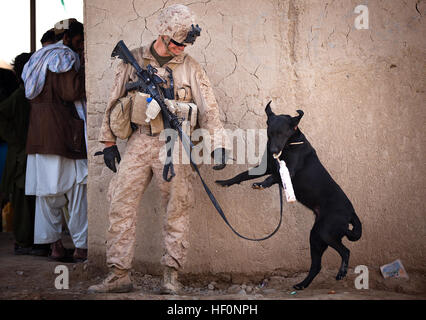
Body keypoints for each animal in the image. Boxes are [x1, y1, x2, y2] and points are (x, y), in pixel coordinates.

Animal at [215, 102, 362, 290]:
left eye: (282, 133)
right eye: (270, 133)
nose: (273, 150)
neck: (290, 144)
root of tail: (351, 212)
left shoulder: (286, 171)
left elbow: (272, 178)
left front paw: (262, 184)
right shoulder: (265, 167)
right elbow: (242, 175)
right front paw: (226, 181)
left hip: (326, 231)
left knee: (346, 251)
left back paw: (341, 271)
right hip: (316, 237)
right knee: (316, 265)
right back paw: (302, 284)